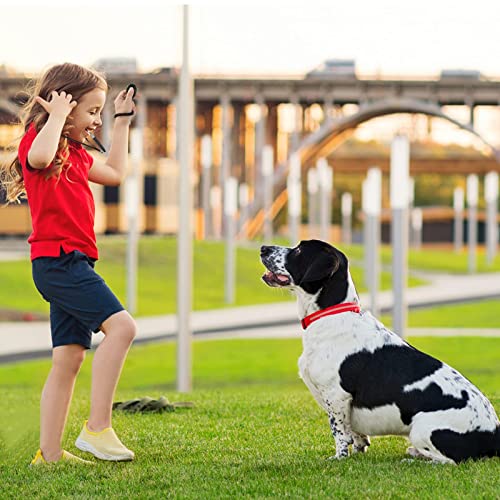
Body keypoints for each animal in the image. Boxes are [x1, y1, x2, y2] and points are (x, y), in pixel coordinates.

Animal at [262, 240, 500, 462]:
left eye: (299, 250)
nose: (263, 248)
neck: (332, 315)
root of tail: (495, 433)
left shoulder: (336, 395)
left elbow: (339, 433)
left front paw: (339, 458)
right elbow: (355, 434)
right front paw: (358, 451)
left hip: (423, 428)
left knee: (449, 460)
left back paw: (412, 459)